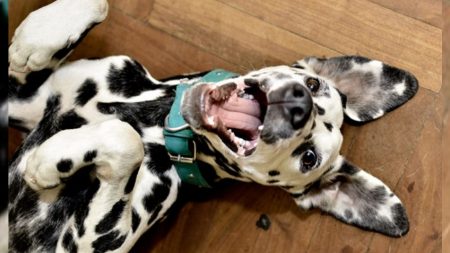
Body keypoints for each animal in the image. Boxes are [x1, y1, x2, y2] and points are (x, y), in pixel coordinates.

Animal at [7, 0, 418, 252]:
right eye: (315, 85)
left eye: (309, 158)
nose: (299, 103)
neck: (150, 116)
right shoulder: (20, 98)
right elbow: (97, 4)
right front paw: (37, 38)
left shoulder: (90, 242)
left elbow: (125, 140)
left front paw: (50, 160)